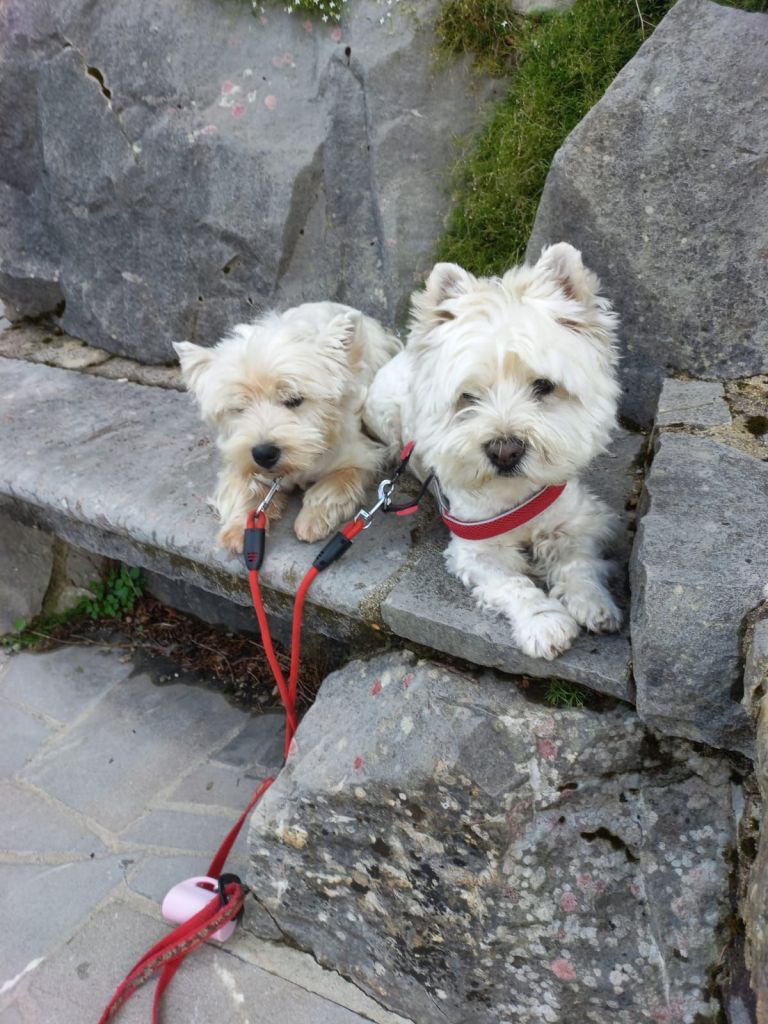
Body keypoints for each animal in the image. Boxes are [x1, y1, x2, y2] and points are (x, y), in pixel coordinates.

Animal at [174, 302, 401, 552]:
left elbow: (337, 481)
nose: (264, 453)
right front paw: (240, 528)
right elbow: (246, 487)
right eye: (239, 408)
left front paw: (311, 520)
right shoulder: (238, 454)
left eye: (294, 400)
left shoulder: (362, 455)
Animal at [364, 243, 622, 660]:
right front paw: (544, 623)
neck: (516, 491)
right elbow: (513, 585)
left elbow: (578, 563)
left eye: (544, 386)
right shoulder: (477, 549)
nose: (505, 451)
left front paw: (593, 602)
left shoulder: (578, 520)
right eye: (468, 396)